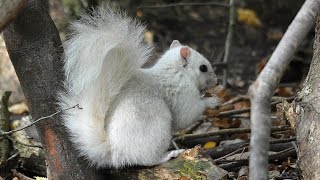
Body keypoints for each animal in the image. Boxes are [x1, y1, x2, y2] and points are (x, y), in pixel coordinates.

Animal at [58, 5, 221, 169]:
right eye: (203, 68)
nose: (217, 81)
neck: (175, 71)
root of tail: (115, 152)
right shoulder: (182, 91)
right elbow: (187, 115)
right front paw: (212, 101)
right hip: (157, 127)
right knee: (146, 159)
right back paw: (167, 155)